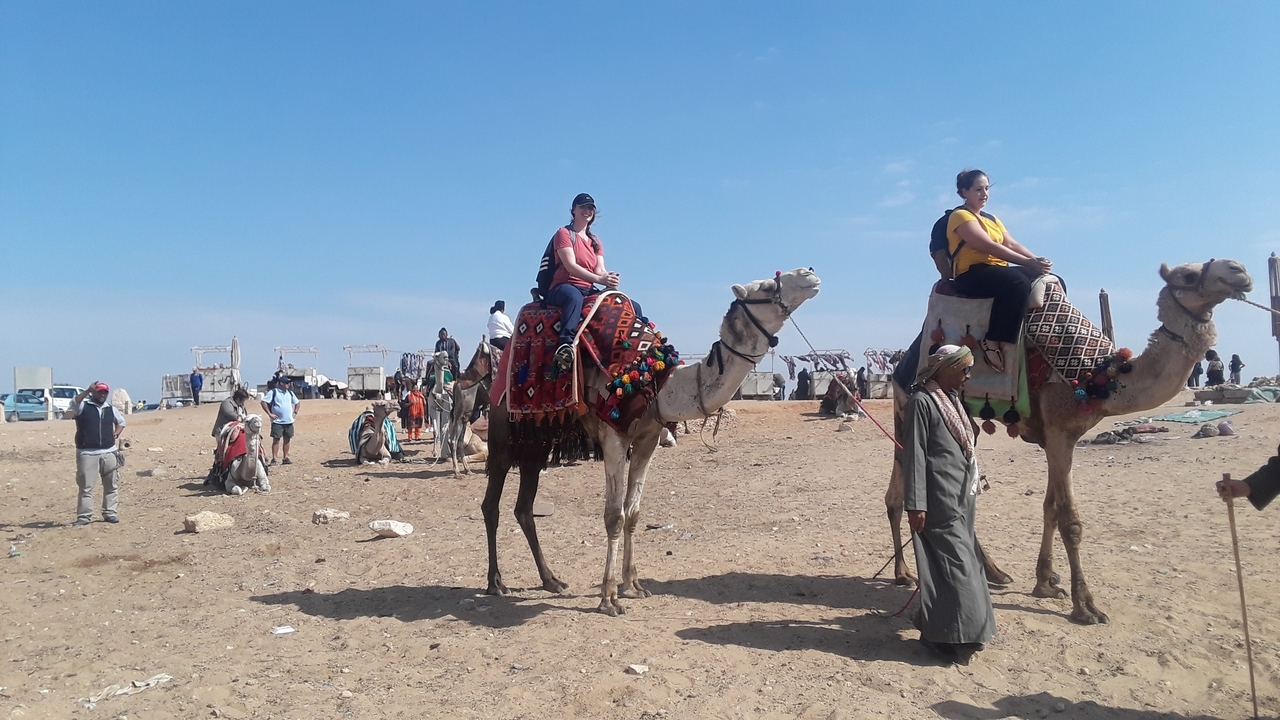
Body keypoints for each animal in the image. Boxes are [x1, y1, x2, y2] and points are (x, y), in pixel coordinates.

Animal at [449, 337, 496, 476]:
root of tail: (457, 384)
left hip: (464, 415)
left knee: (458, 441)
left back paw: (467, 470)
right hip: (463, 412)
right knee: (453, 441)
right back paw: (457, 472)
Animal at [484, 268, 821, 615]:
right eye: (766, 286)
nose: (809, 273)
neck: (657, 382)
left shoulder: (648, 438)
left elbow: (633, 513)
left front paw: (633, 586)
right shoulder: (614, 437)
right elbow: (614, 516)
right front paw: (609, 598)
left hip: (536, 442)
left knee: (524, 508)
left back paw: (552, 580)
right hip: (501, 433)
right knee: (491, 504)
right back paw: (496, 583)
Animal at [884, 259, 1253, 624]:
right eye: (1188, 275)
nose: (1239, 271)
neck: (1098, 378)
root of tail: (904, 362)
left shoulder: (1060, 437)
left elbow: (1050, 509)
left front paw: (1046, 583)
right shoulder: (1060, 432)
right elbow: (1070, 521)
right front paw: (1086, 606)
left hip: (958, 417)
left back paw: (990, 572)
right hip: (908, 407)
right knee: (904, 492)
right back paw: (909, 573)